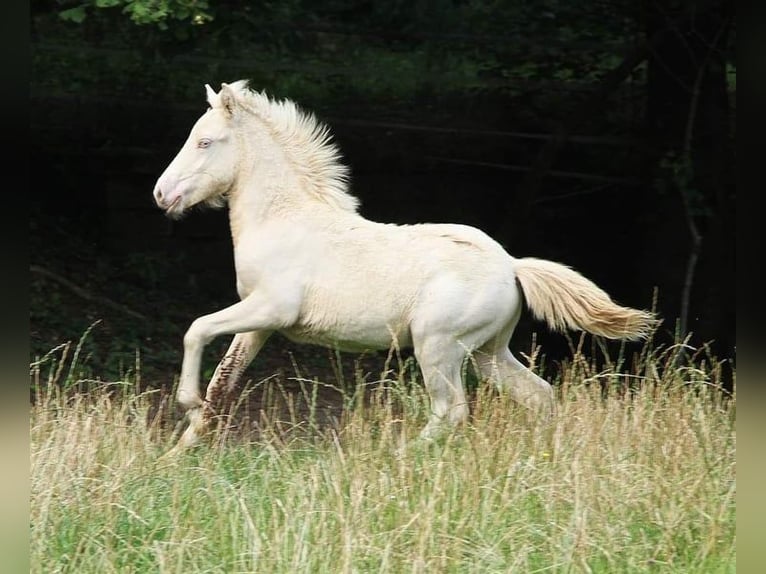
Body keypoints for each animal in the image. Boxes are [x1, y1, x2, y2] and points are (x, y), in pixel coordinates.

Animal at [152, 80, 659, 454]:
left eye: (205, 141)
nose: (162, 194)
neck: (284, 220)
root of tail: (512, 265)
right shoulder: (258, 323)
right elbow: (224, 382)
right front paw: (180, 450)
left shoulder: (272, 309)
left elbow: (196, 330)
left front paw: (185, 403)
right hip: (487, 351)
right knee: (539, 396)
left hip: (438, 346)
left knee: (452, 409)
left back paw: (397, 456)